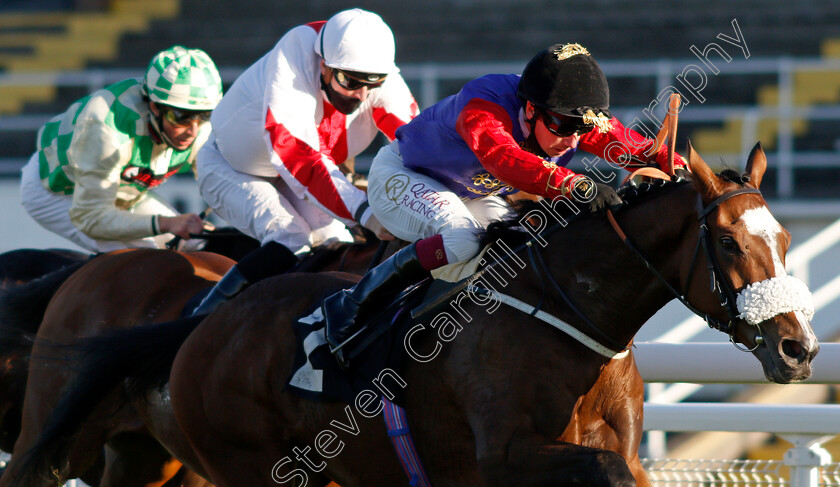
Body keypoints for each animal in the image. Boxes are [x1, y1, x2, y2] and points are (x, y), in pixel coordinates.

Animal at [9, 143, 816, 486]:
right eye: (726, 241)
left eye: (783, 239)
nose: (799, 348)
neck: (565, 313)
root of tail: (203, 327)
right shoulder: (504, 456)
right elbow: (608, 474)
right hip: (236, 464)